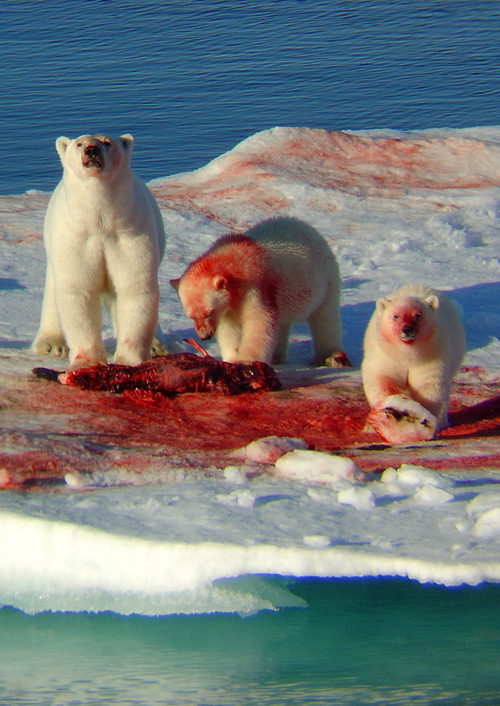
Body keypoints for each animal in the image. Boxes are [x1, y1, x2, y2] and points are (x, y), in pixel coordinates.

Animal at [31, 134, 166, 372]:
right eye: (79, 144)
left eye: (107, 142)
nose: (92, 151)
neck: (100, 221)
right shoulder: (78, 238)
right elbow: (77, 290)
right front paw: (86, 363)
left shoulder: (129, 235)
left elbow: (135, 287)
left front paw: (129, 360)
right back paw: (51, 344)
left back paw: (156, 346)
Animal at [172, 216, 352, 366]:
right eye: (191, 316)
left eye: (208, 313)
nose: (204, 336)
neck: (232, 259)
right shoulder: (228, 304)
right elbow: (228, 328)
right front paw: (231, 358)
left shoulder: (255, 286)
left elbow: (259, 321)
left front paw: (247, 361)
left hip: (326, 278)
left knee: (325, 317)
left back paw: (331, 356)